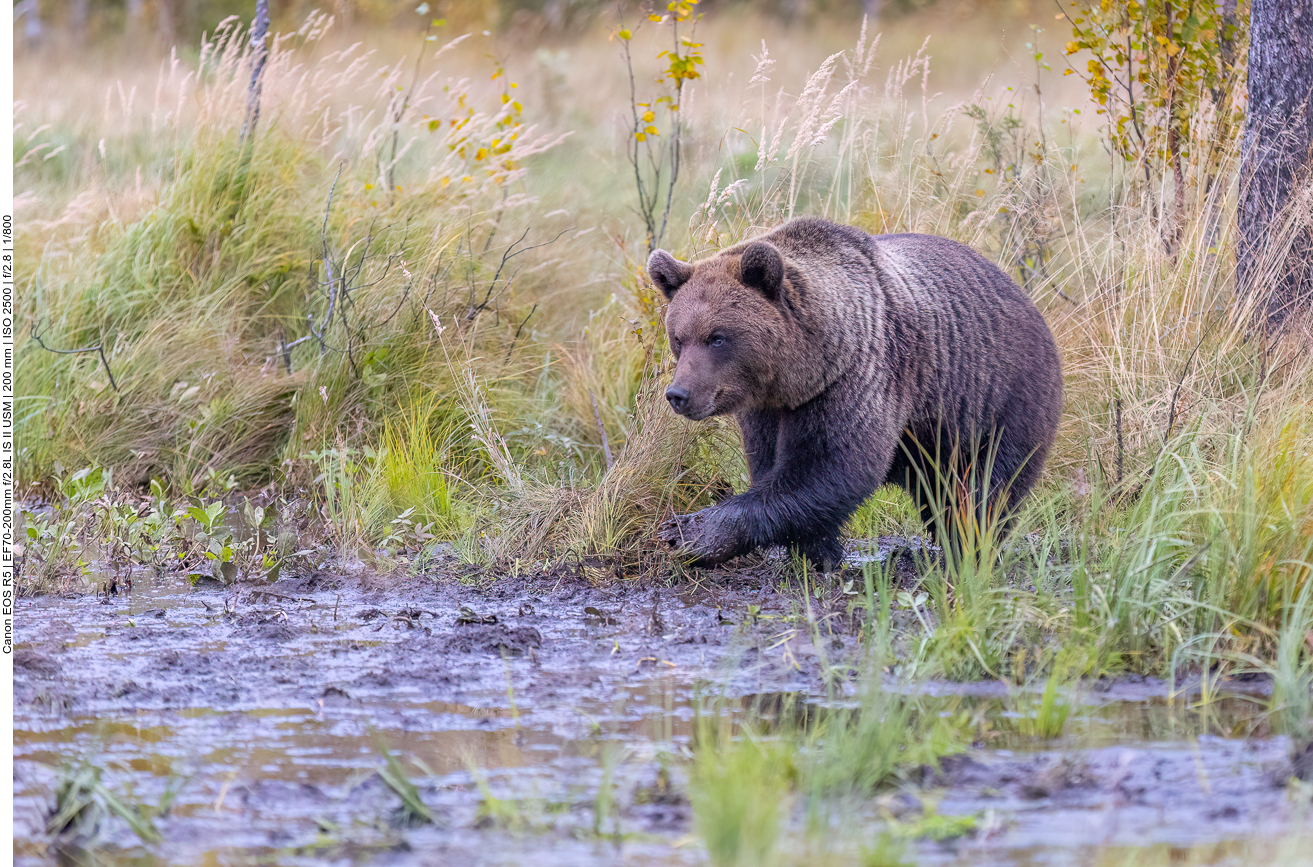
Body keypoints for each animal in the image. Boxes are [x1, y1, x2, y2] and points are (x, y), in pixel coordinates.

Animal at [646, 217, 1063, 571]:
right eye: (678, 338)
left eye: (717, 337)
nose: (679, 394)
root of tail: (1027, 298)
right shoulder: (768, 408)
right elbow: (773, 466)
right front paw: (818, 552)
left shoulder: (855, 377)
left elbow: (831, 467)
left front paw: (692, 533)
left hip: (999, 394)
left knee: (986, 487)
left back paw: (965, 549)